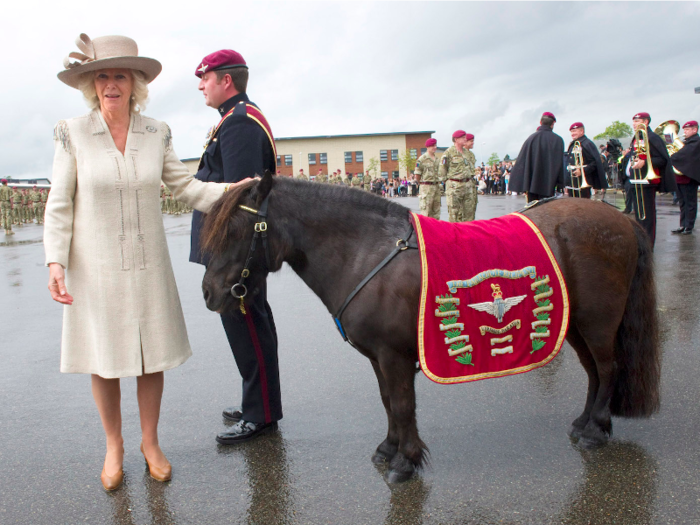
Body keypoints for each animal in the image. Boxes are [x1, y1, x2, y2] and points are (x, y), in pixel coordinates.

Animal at [198, 173, 660, 484]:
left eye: (235, 230)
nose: (209, 293)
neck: (369, 252)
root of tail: (621, 219)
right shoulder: (379, 358)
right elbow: (388, 402)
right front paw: (389, 449)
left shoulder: (394, 356)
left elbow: (403, 405)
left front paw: (405, 461)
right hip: (576, 325)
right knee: (595, 372)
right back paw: (584, 423)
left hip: (598, 322)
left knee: (609, 369)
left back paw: (596, 430)